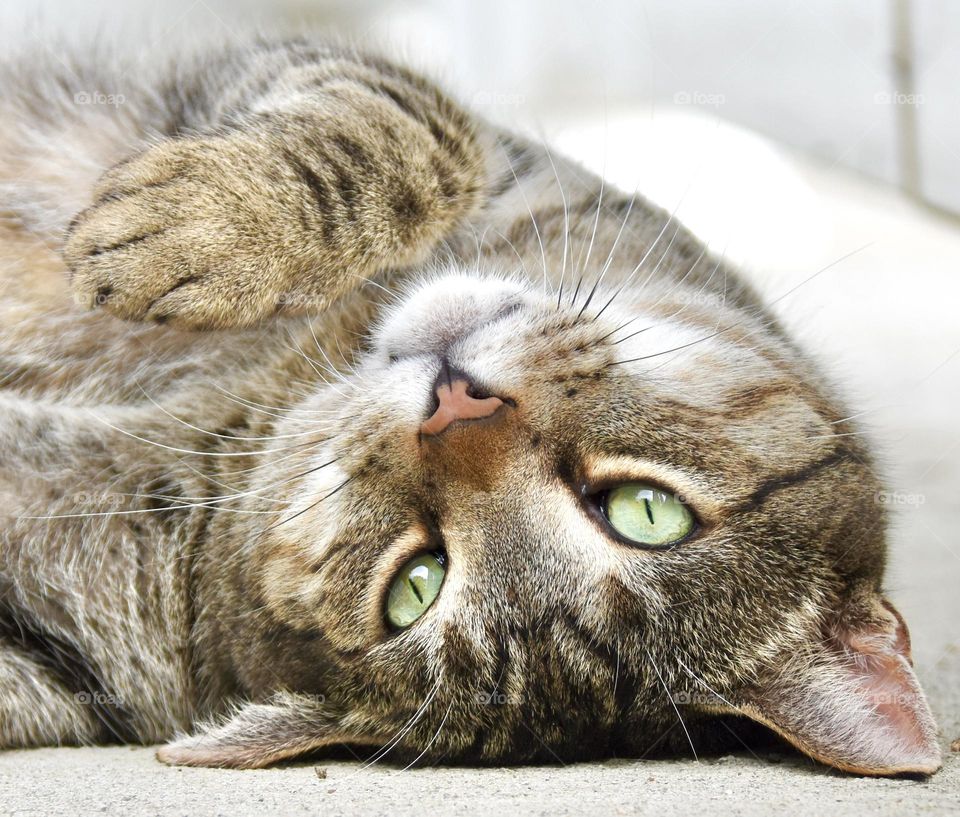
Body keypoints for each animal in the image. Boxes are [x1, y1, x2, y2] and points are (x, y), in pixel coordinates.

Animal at [0, 35, 944, 776]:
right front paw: (207, 227)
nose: (455, 403)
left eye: (415, 585)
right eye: (648, 509)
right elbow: (403, 139)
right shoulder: (402, 107)